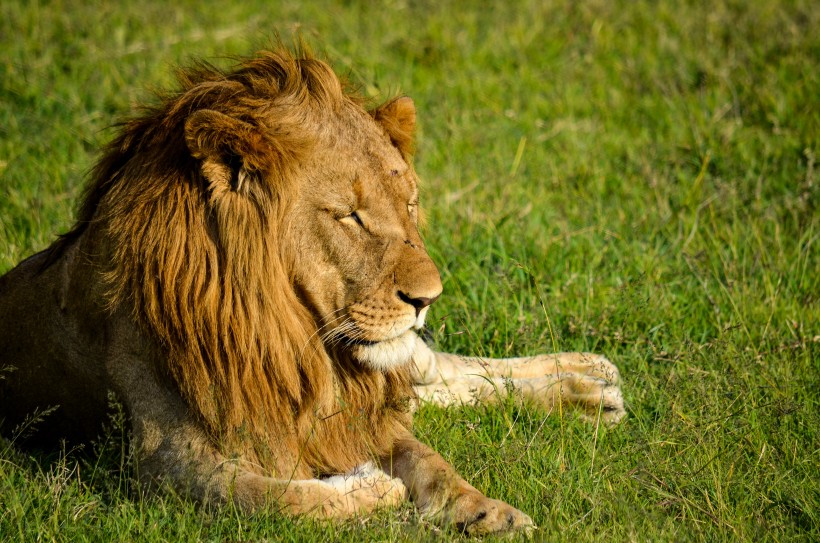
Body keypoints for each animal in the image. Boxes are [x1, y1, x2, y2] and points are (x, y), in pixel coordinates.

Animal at [0, 46, 620, 536]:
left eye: (410, 204)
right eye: (349, 216)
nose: (429, 298)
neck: (292, 338)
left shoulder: (354, 410)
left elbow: (429, 460)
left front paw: (485, 509)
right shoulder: (160, 459)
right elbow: (276, 499)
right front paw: (373, 487)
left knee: (444, 370)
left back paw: (591, 381)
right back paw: (593, 391)